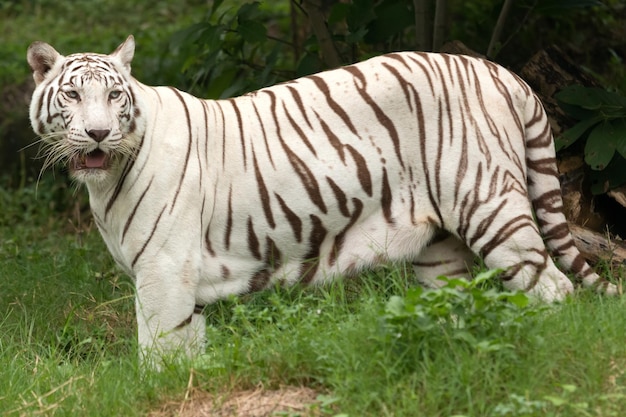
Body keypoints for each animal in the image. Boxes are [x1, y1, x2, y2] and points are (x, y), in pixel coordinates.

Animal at [26, 36, 612, 364]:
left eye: (114, 96)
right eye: (73, 95)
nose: (98, 134)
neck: (106, 182)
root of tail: (501, 71)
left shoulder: (164, 272)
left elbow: (157, 355)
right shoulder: (180, 283)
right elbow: (188, 353)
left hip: (490, 206)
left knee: (553, 288)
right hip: (440, 252)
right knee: (459, 307)